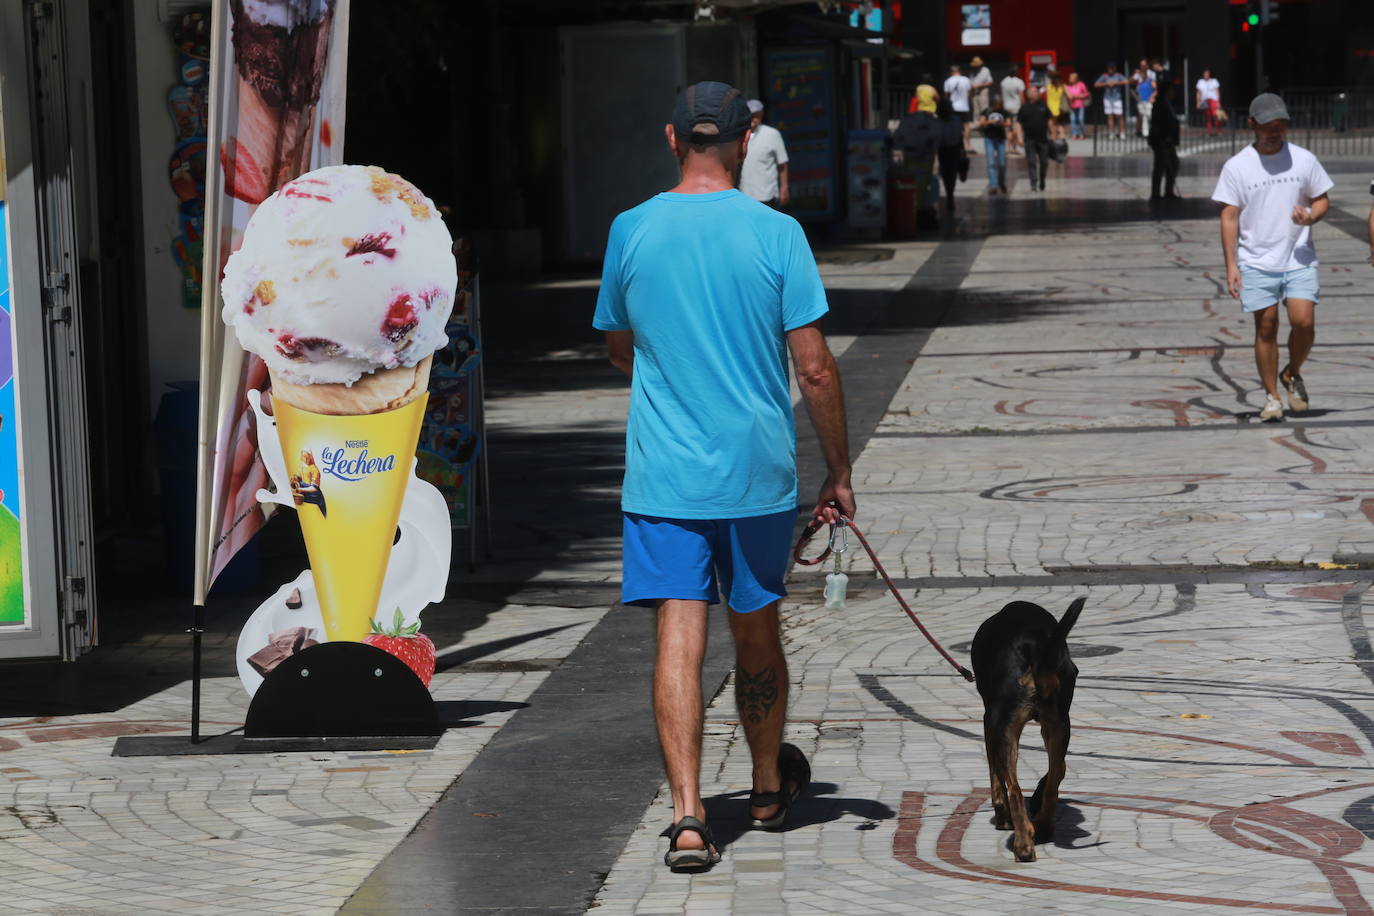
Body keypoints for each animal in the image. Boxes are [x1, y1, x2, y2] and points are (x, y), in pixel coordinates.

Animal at [967, 598, 1082, 862]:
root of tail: (1033, 646)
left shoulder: (990, 721)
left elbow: (996, 779)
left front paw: (1002, 817)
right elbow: (1059, 771)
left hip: (1005, 729)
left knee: (1015, 791)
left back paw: (1023, 843)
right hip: (1059, 724)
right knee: (1052, 783)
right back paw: (1042, 828)